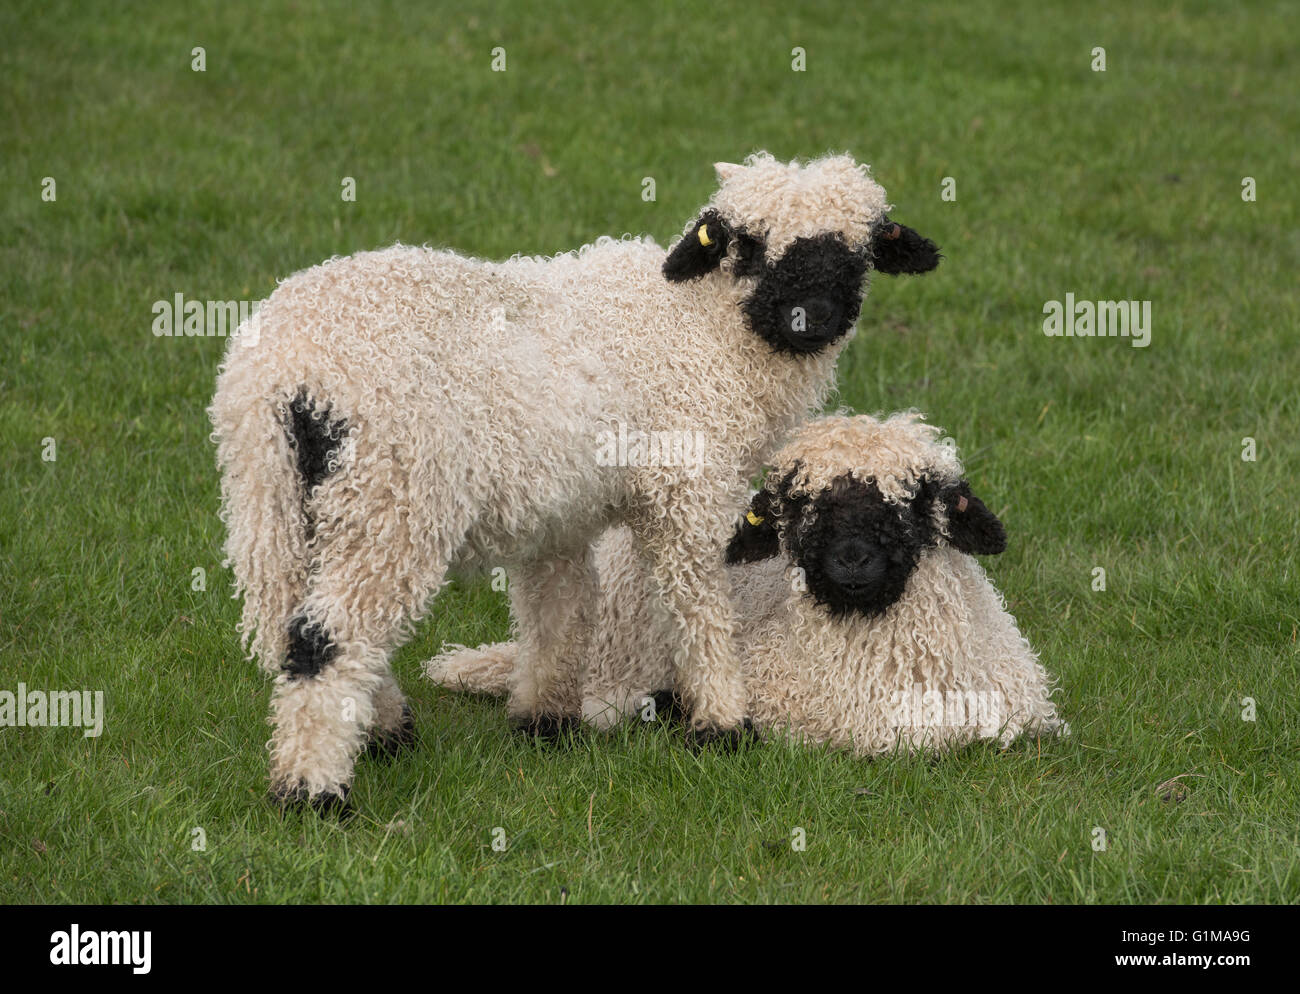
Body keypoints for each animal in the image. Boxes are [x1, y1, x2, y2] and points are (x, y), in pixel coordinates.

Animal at [213, 153, 946, 805]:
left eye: (859, 252)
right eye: (748, 246)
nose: (810, 317)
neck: (706, 330)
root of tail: (292, 373)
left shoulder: (556, 511)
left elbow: (559, 610)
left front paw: (545, 718)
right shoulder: (689, 487)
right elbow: (702, 605)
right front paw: (724, 722)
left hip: (270, 494)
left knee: (286, 620)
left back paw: (376, 728)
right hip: (392, 492)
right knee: (327, 637)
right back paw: (313, 789)